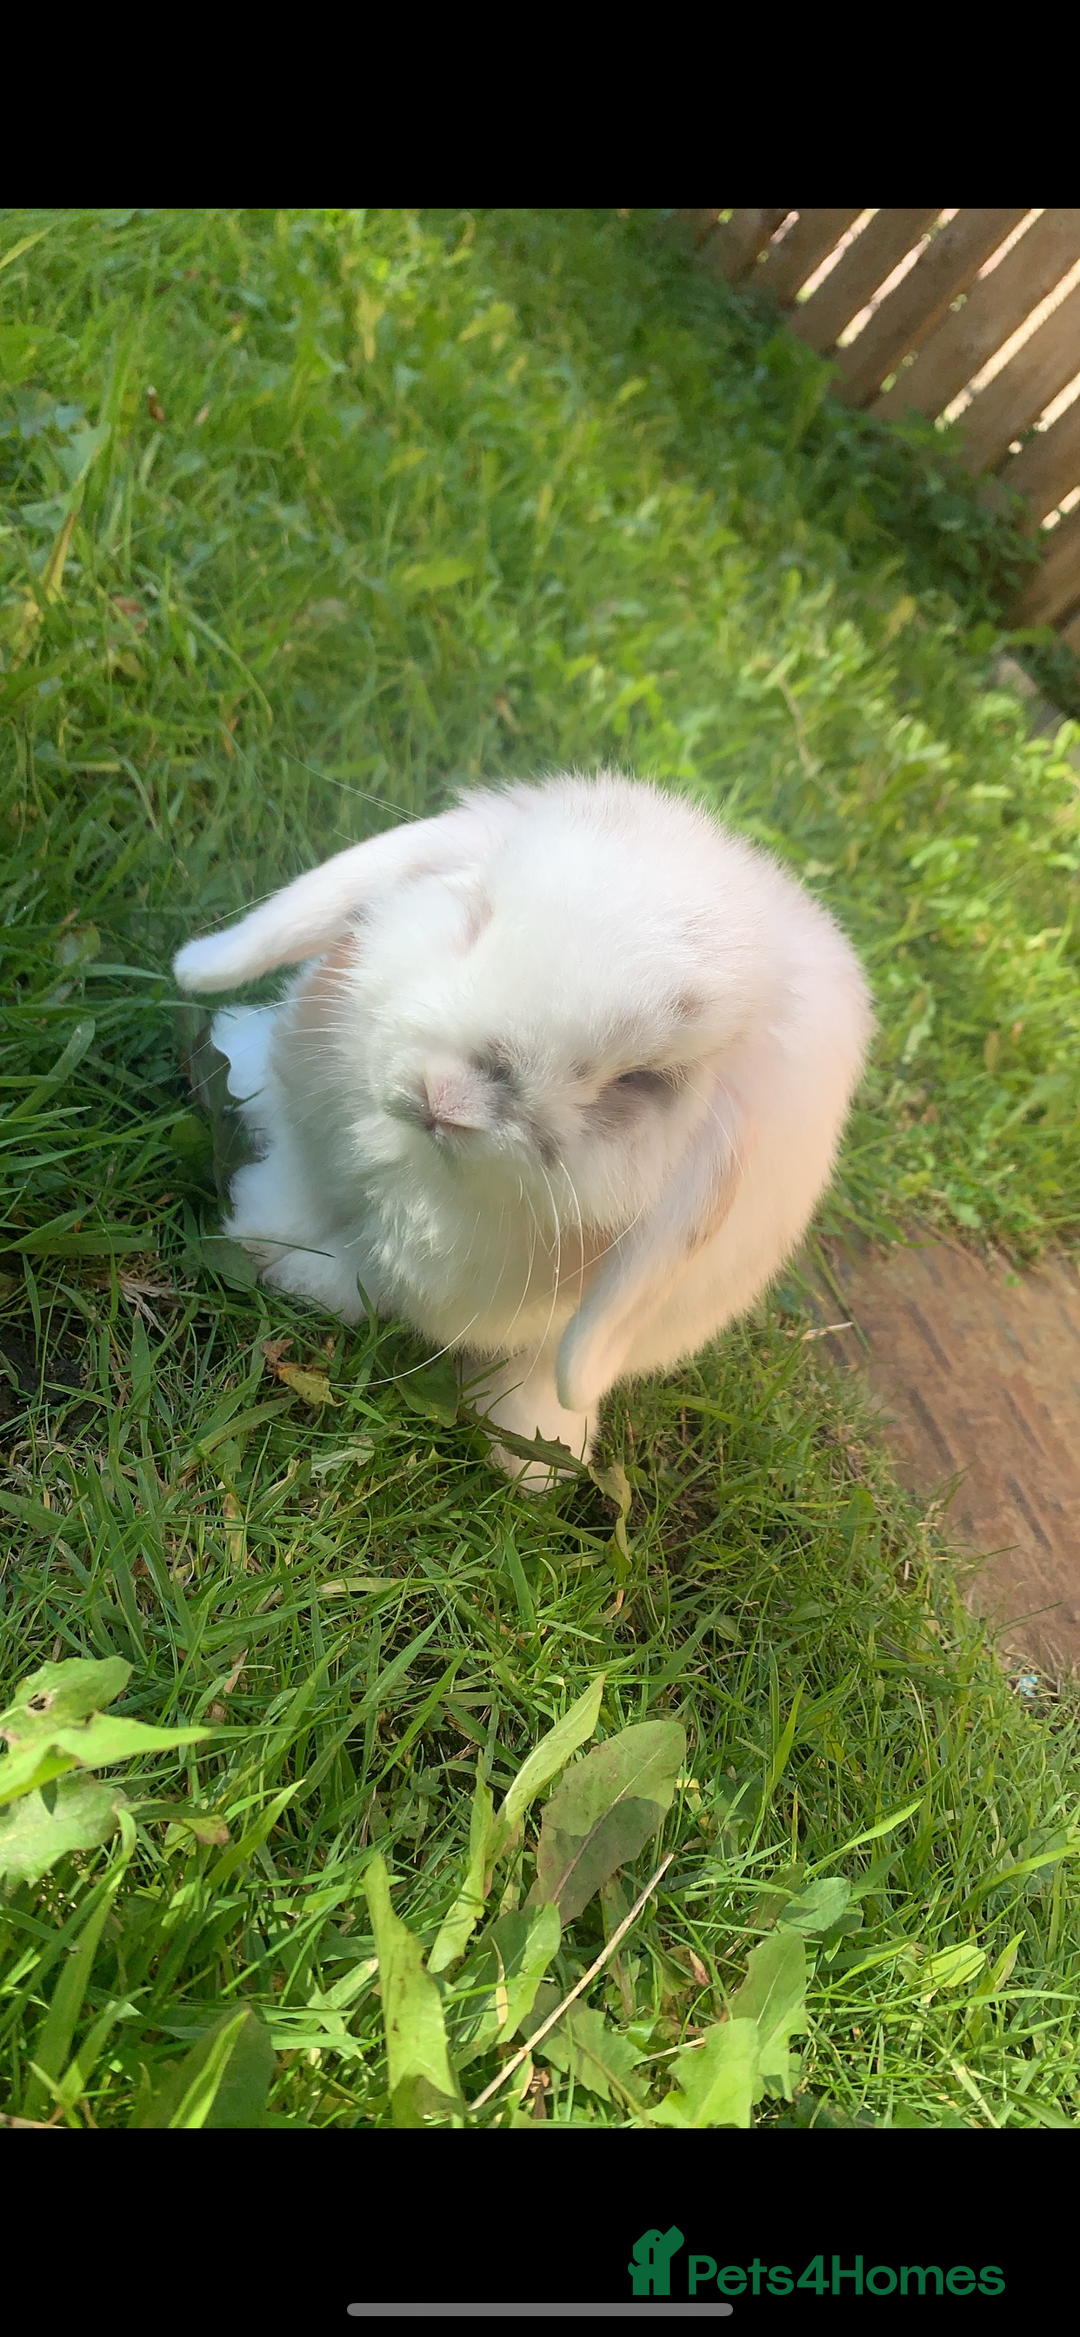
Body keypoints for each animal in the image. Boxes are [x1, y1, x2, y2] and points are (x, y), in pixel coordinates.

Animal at [173, 773, 872, 1486]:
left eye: (642, 1080)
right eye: (478, 915)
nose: (447, 1095)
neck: (419, 1169)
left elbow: (373, 1280)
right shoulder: (311, 1146)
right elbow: (295, 1196)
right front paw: (257, 1244)